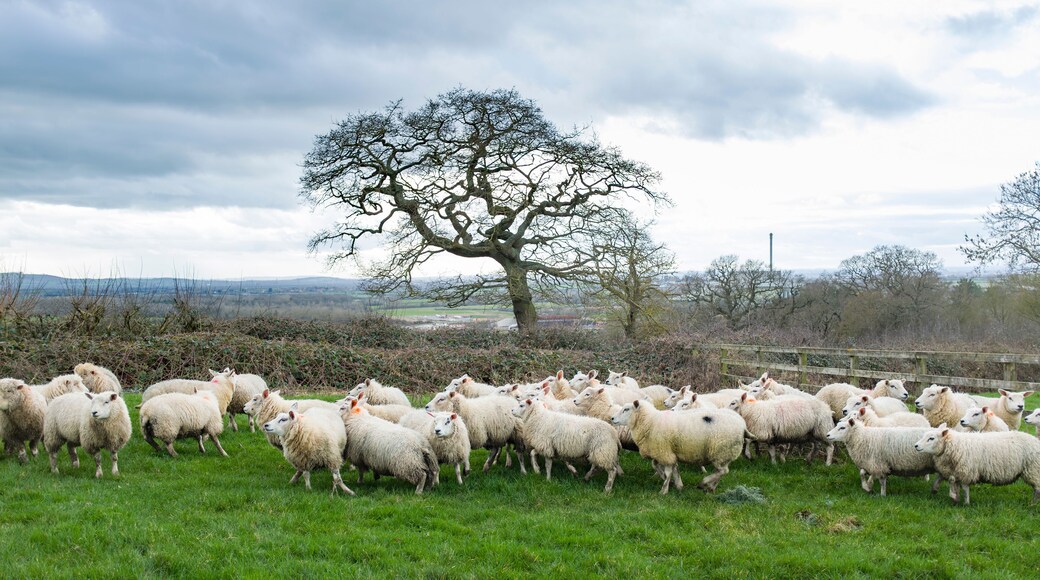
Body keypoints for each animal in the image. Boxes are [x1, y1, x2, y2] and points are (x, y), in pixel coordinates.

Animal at [611, 400, 749, 494]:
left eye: (626, 409)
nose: (612, 418)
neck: (651, 422)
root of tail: (742, 425)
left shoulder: (664, 452)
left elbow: (668, 471)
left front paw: (664, 490)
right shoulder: (667, 452)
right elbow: (662, 466)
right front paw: (677, 484)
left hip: (720, 451)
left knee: (723, 471)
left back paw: (704, 483)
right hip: (725, 454)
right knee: (721, 471)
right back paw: (711, 487)